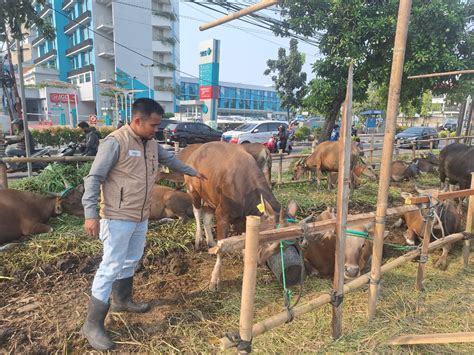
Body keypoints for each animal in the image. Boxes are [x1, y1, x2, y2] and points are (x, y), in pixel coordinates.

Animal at [184, 143, 282, 292]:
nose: (261, 260)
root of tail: (195, 153)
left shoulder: (242, 219)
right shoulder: (222, 215)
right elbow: (222, 249)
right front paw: (214, 280)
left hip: (209, 197)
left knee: (206, 217)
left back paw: (211, 242)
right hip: (193, 191)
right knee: (197, 212)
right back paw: (198, 239)